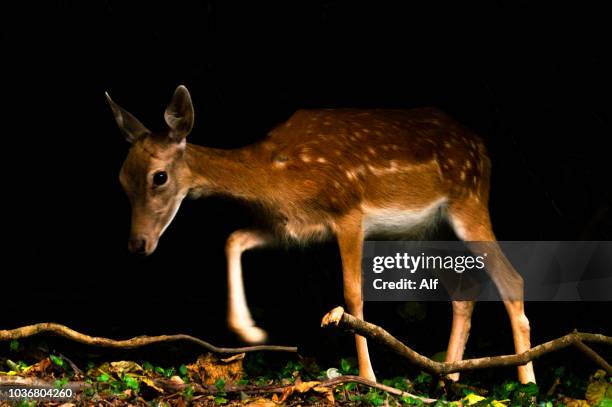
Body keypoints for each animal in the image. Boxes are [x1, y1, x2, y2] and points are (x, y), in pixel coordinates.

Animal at [109, 84, 536, 384]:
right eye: (121, 180)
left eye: (159, 177)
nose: (137, 244)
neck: (277, 174)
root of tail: (482, 148)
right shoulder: (291, 227)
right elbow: (233, 239)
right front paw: (249, 329)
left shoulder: (348, 212)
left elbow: (352, 294)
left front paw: (368, 376)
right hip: (423, 232)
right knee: (463, 290)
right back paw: (447, 378)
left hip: (468, 200)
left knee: (511, 278)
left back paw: (525, 381)